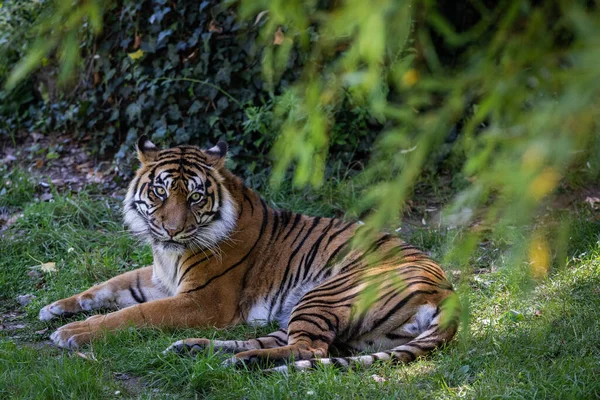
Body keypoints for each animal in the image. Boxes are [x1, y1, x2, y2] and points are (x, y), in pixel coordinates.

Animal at [38, 137, 460, 372]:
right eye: (160, 192)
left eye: (195, 196)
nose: (172, 229)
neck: (170, 254)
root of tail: (448, 292)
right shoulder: (160, 279)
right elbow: (107, 286)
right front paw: (54, 308)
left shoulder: (203, 300)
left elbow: (134, 314)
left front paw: (72, 333)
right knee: (277, 341)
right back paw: (196, 349)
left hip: (328, 292)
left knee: (310, 348)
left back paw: (239, 362)